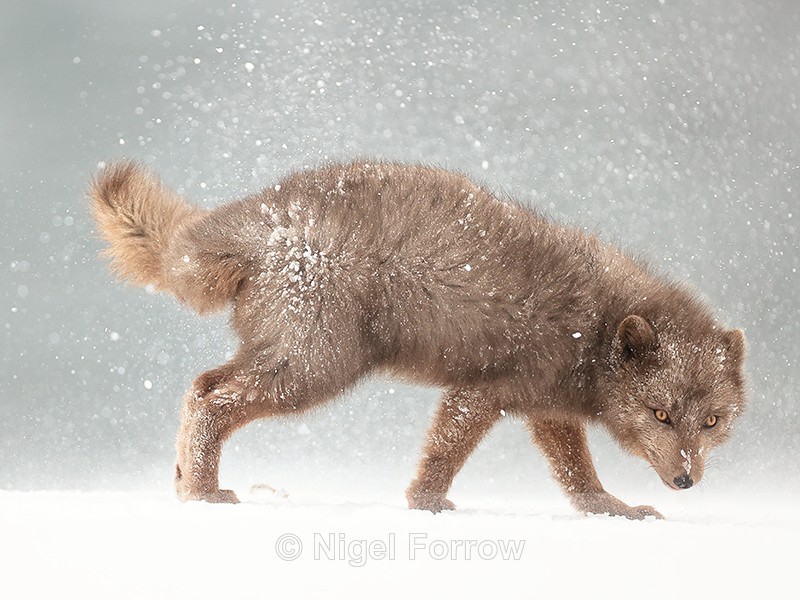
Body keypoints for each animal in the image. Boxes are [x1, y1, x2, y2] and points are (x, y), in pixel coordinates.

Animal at [90, 159, 746, 519]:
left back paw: (186, 484)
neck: (597, 323)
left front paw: (617, 513)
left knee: (201, 385)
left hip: (290, 359)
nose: (686, 480)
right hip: (312, 369)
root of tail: (260, 214)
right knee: (209, 398)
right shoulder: (481, 393)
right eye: (660, 414)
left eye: (711, 422)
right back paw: (203, 494)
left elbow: (579, 480)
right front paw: (426, 507)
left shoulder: (547, 411)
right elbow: (444, 456)